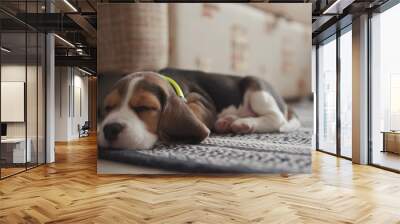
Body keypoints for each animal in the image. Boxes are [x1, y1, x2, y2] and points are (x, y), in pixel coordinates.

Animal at [99, 67, 300, 150]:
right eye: (107, 107)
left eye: (145, 107)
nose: (110, 129)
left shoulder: (203, 102)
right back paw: (227, 122)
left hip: (258, 88)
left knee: (276, 118)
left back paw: (244, 124)